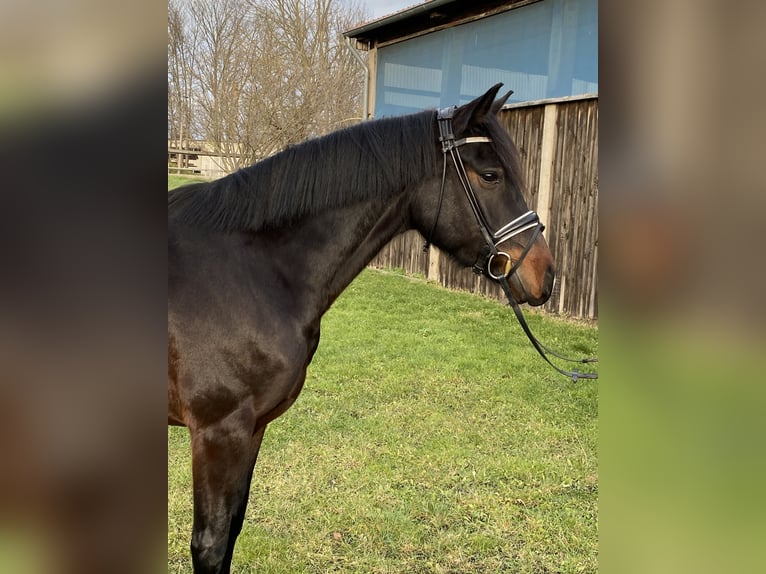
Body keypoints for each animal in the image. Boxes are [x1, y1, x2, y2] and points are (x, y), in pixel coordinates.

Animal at [168, 83, 556, 572]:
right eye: (490, 175)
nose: (546, 274)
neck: (251, 272)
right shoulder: (219, 432)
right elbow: (211, 544)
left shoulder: (252, 429)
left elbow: (232, 531)